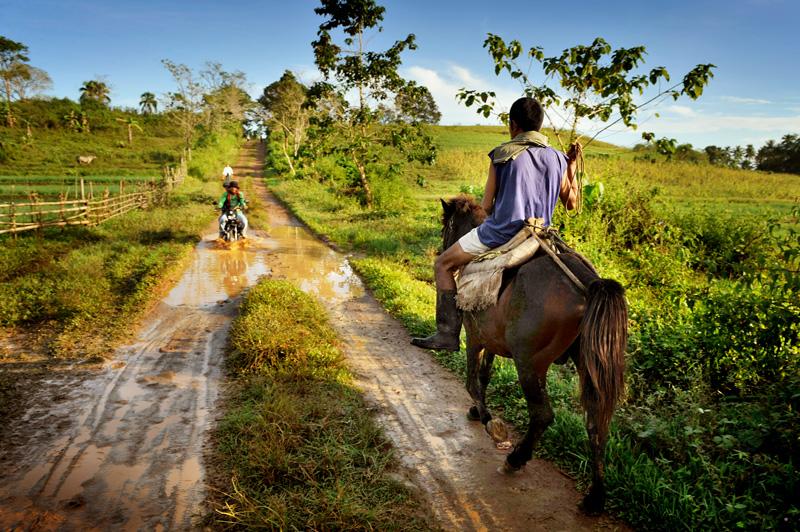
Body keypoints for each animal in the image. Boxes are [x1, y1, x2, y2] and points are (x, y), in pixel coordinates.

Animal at [440, 195, 628, 516]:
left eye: (445, 227)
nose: (441, 251)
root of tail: (588, 283)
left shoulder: (475, 336)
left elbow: (472, 381)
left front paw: (489, 420)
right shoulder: (492, 340)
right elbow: (485, 376)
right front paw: (479, 412)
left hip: (529, 363)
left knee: (542, 415)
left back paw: (516, 459)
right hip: (585, 366)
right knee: (596, 423)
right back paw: (595, 496)